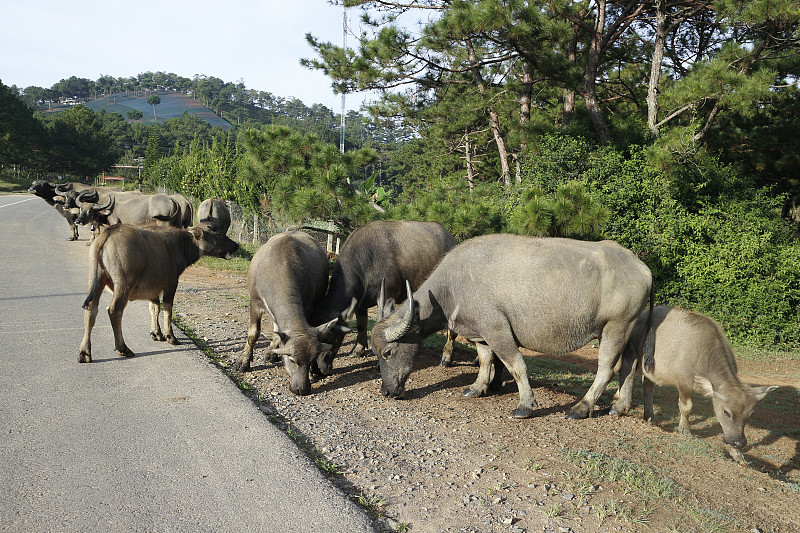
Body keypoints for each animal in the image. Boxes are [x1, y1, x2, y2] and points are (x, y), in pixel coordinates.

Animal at [78, 220, 238, 362]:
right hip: (123, 285)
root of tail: (108, 233)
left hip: (96, 279)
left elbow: (154, 308)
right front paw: (170, 336)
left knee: (91, 309)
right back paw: (123, 348)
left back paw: (85, 352)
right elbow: (167, 309)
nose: (236, 245)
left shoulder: (153, 288)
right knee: (114, 311)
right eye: (219, 234)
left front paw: (156, 333)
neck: (181, 245)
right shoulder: (171, 283)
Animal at [231, 231, 344, 392]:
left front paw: (312, 373)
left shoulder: (308, 307)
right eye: (292, 360)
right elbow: (253, 334)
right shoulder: (255, 303)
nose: (302, 389)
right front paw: (243, 362)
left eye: (312, 359)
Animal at [310, 217, 456, 374]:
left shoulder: (386, 295)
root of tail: (451, 239)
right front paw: (358, 350)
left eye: (329, 337)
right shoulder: (360, 303)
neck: (367, 262)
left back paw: (446, 356)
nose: (319, 369)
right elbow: (361, 325)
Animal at [372, 235, 652, 418]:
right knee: (629, 365)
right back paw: (619, 406)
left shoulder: (497, 330)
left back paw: (581, 407)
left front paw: (524, 405)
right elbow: (486, 361)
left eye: (388, 352)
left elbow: (516, 366)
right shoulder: (481, 335)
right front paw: (478, 387)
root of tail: (642, 269)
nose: (386, 391)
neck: (452, 287)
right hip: (627, 329)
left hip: (615, 327)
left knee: (607, 368)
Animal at [612, 308, 776, 454]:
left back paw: (649, 417)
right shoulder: (684, 383)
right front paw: (684, 430)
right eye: (726, 412)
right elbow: (687, 407)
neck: (704, 354)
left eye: (751, 414)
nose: (739, 442)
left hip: (651, 370)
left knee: (648, 388)